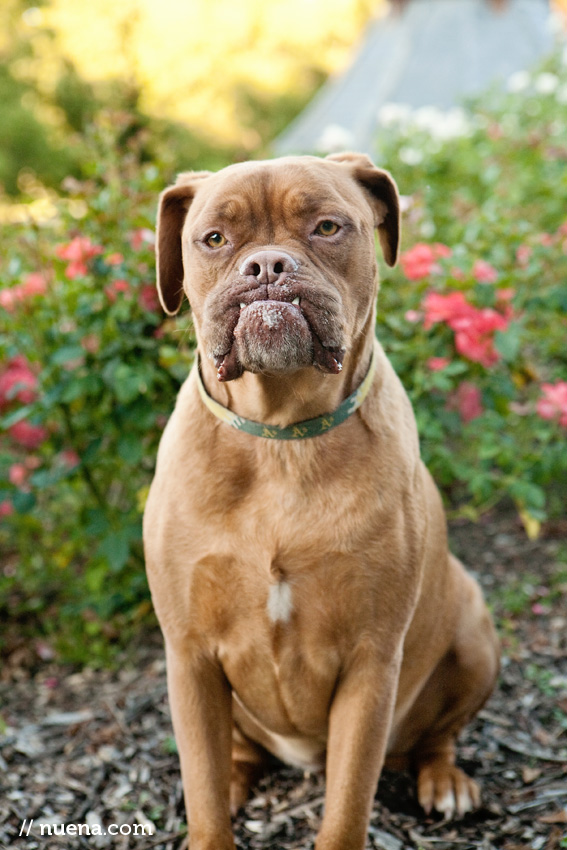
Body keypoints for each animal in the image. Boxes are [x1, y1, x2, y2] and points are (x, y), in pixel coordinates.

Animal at [144, 152, 500, 848]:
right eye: (214, 239)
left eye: (328, 227)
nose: (266, 265)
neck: (281, 436)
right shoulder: (190, 656)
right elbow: (203, 787)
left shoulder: (370, 662)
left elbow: (347, 805)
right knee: (231, 758)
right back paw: (235, 779)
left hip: (474, 632)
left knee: (435, 736)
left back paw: (443, 779)